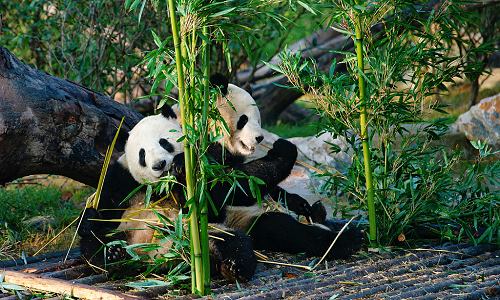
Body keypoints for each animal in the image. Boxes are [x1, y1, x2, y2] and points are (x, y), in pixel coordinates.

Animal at [78, 76, 366, 282]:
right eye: (141, 155)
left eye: (164, 143)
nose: (160, 165)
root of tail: (164, 255)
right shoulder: (122, 179)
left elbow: (241, 188)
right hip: (148, 233)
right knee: (100, 237)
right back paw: (115, 255)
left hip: (226, 226)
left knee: (267, 233)